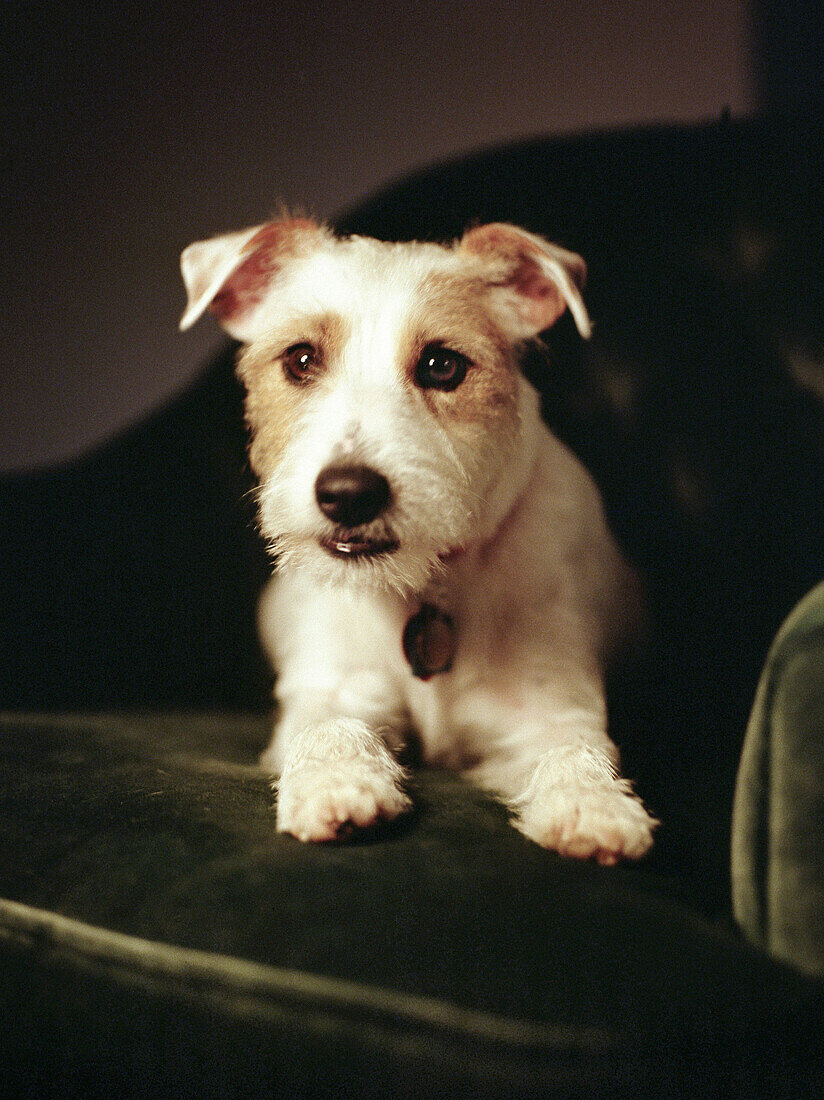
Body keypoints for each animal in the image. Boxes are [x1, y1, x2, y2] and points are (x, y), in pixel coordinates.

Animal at [178, 214, 655, 862]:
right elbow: (326, 728)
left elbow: (572, 751)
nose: (349, 494)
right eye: (301, 359)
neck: (424, 587)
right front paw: (336, 785)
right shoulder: (332, 687)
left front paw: (593, 808)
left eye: (442, 365)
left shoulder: (549, 709)